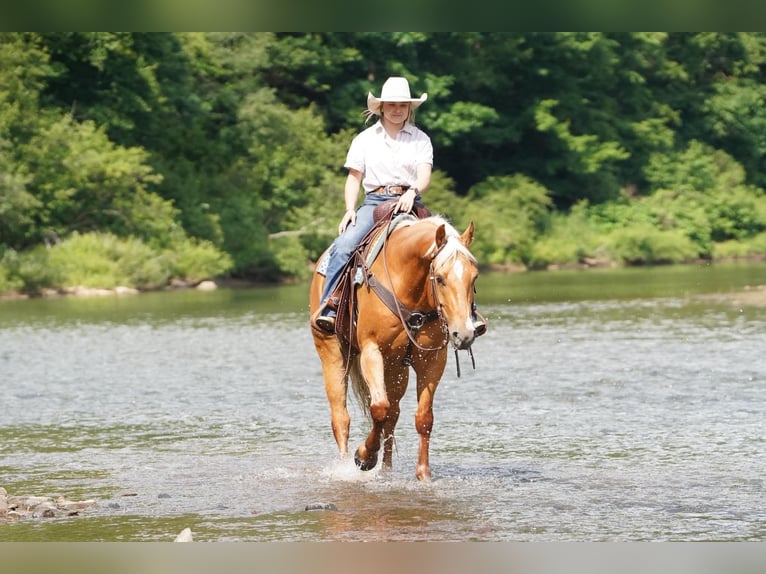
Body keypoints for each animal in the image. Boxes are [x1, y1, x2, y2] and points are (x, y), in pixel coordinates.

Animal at [309, 215, 480, 481]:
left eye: (474, 277)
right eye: (440, 278)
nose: (464, 334)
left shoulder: (432, 359)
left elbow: (423, 417)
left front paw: (423, 475)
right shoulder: (371, 351)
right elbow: (379, 408)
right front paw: (364, 457)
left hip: (396, 368)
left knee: (393, 415)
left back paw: (386, 470)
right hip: (332, 353)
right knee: (341, 417)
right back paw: (345, 465)